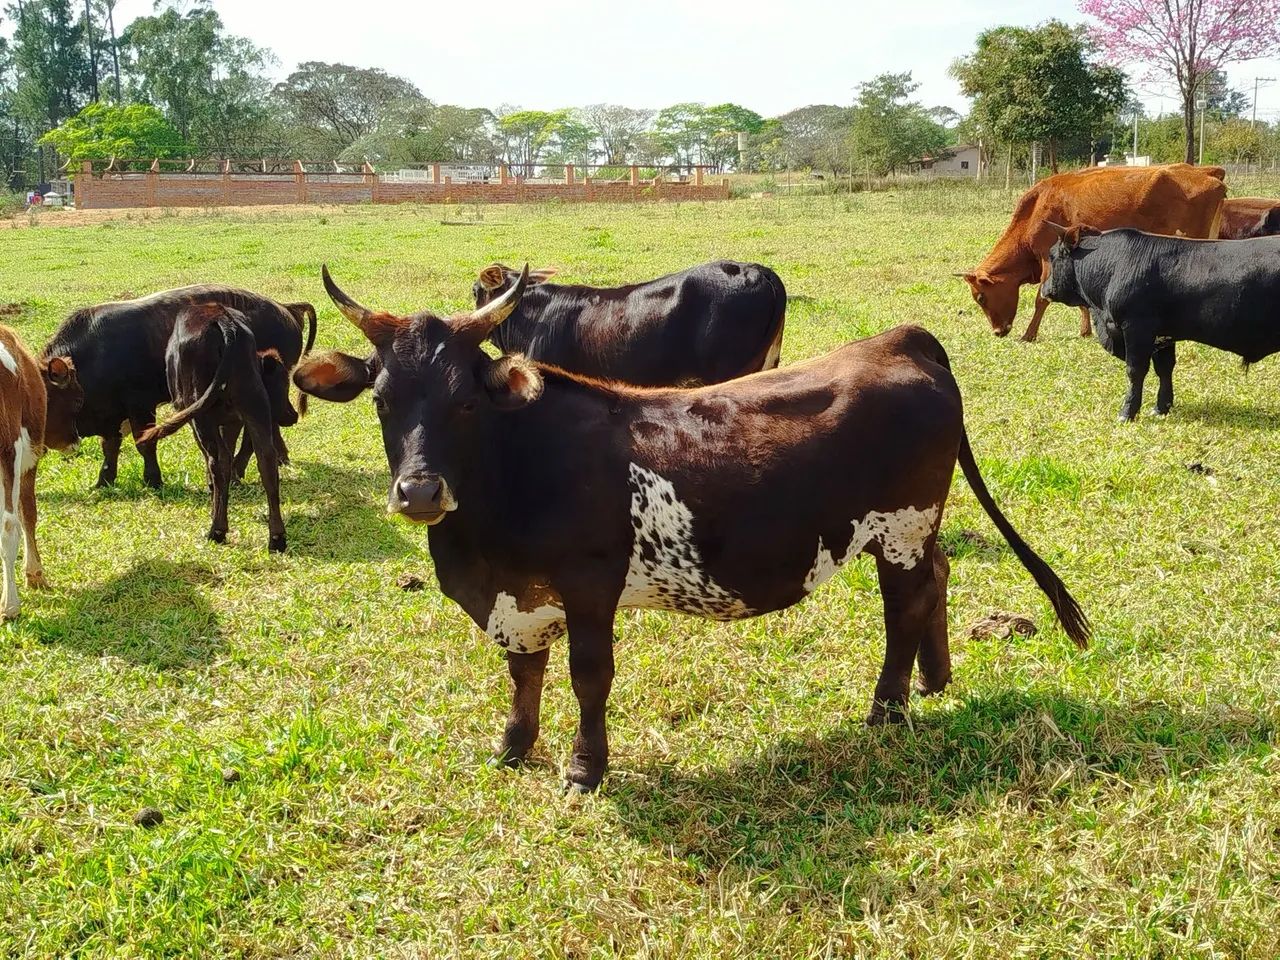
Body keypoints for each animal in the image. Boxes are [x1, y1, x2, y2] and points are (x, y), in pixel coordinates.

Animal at [0, 326, 82, 618]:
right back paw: (10, 606)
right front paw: (35, 574)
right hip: (10, 452)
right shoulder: (29, 459)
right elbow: (28, 514)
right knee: (9, 525)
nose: (76, 442)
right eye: (78, 399)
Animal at [40, 287, 317, 490]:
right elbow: (110, 447)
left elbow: (144, 444)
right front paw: (103, 481)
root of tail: (286, 309)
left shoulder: (140, 406)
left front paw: (153, 480)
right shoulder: (113, 413)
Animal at [138, 304, 287, 552]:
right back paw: (277, 538)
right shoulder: (233, 420)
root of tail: (226, 325)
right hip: (254, 405)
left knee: (218, 460)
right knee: (266, 460)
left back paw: (217, 530)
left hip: (200, 414)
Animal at [961, 164, 1226, 341]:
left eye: (980, 297)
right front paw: (1086, 331)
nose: (998, 331)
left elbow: (1041, 299)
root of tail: (1205, 172)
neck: (1035, 208)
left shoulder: (1047, 257)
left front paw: (1028, 334)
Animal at [1040, 224, 1280, 421]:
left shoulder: (1137, 328)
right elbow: (1164, 369)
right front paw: (1161, 408)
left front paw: (1127, 413)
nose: (1044, 289)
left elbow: (1135, 370)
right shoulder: (1163, 335)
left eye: (1052, 256)